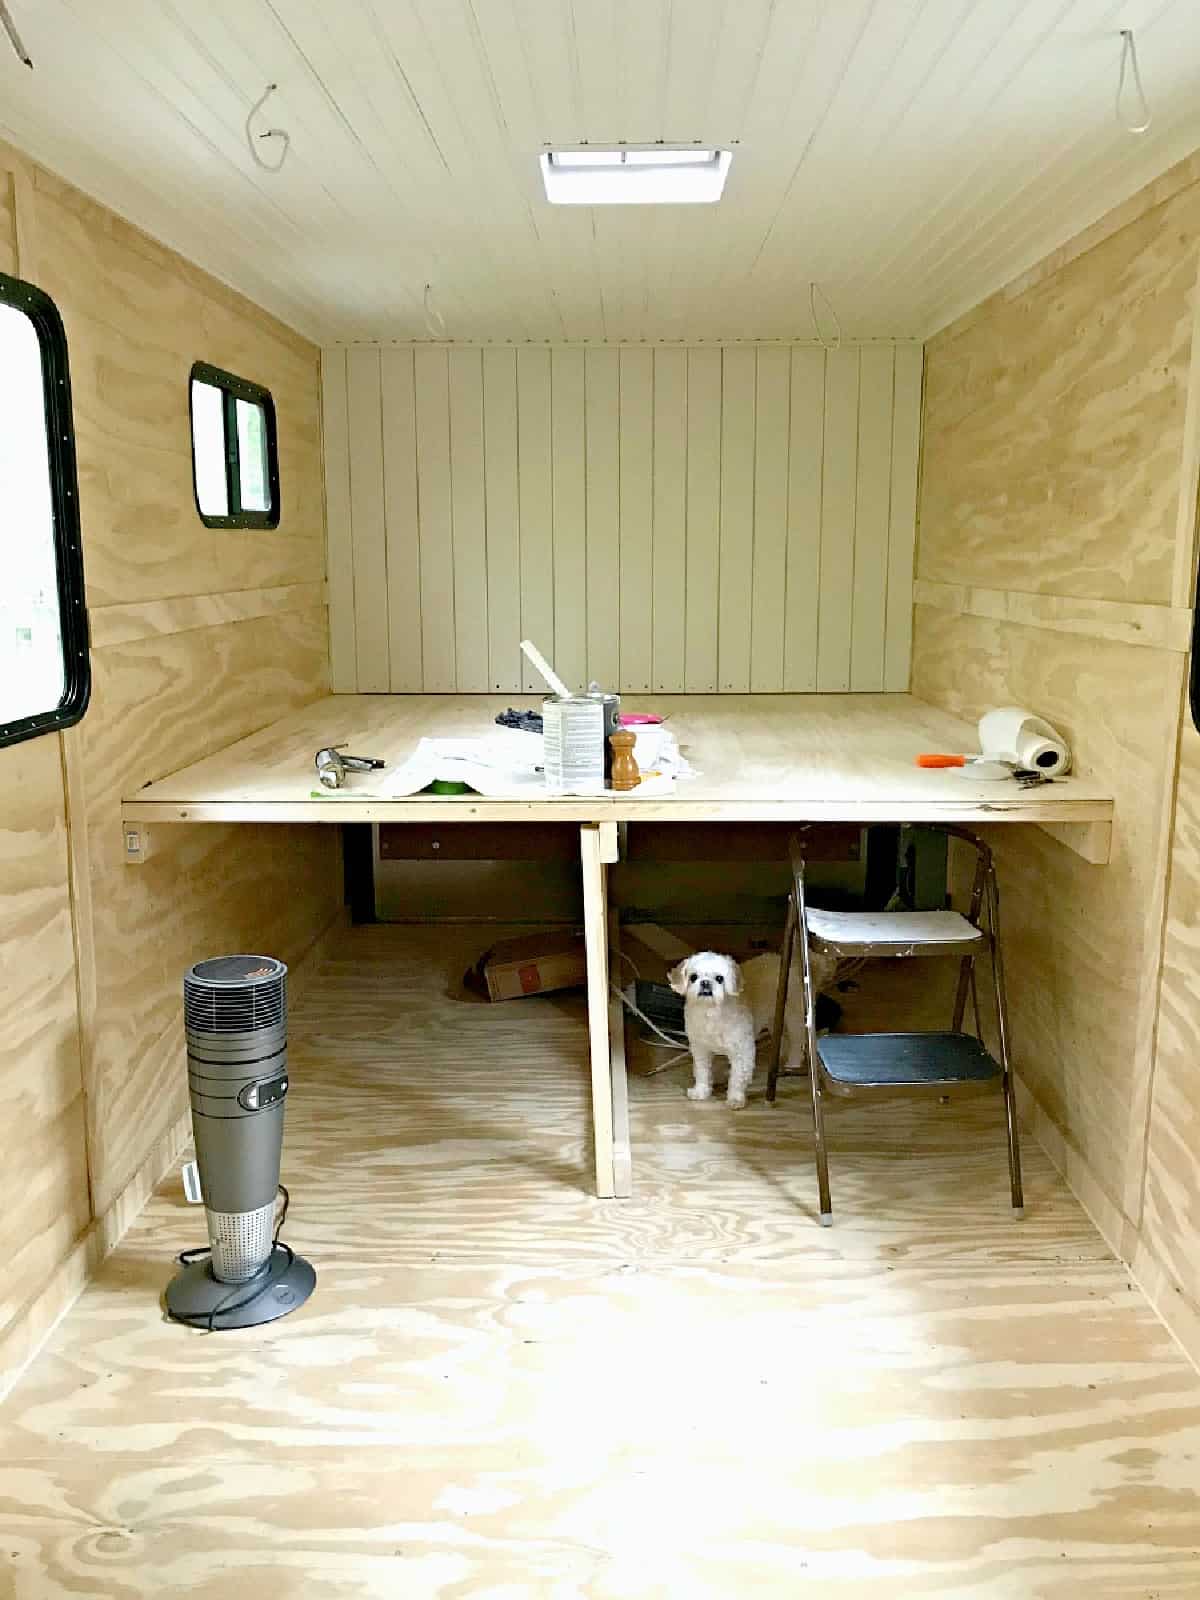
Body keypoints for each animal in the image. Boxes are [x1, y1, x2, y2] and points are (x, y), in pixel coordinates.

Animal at [672, 940, 838, 1107]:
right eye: (693, 977)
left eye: (719, 978)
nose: (705, 983)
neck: (711, 1012)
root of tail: (794, 964)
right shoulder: (701, 1049)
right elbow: (702, 1072)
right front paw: (701, 1091)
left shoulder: (742, 1050)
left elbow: (737, 1077)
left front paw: (735, 1099)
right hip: (775, 1020)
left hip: (793, 1017)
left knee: (797, 1042)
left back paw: (792, 1064)